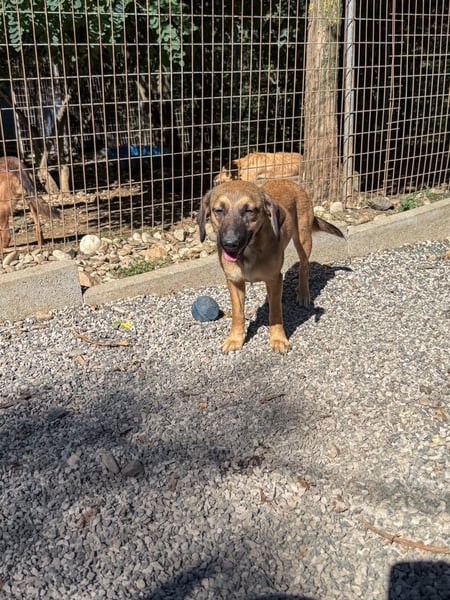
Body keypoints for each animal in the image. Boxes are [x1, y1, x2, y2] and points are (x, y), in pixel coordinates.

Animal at [197, 179, 344, 353]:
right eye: (219, 210)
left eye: (249, 210)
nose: (230, 244)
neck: (249, 253)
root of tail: (289, 182)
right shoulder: (234, 282)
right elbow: (238, 313)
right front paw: (235, 339)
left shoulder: (275, 277)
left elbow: (275, 312)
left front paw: (278, 339)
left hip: (303, 240)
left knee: (304, 267)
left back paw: (303, 293)